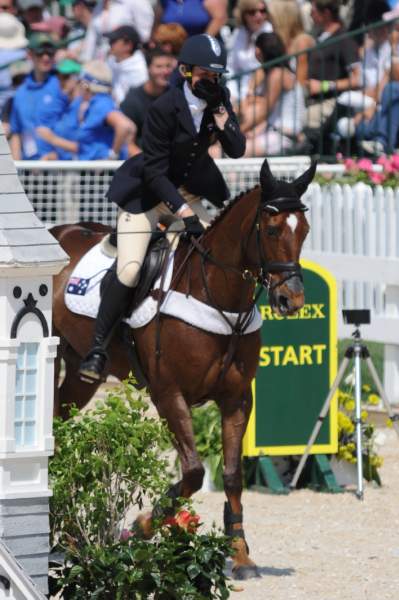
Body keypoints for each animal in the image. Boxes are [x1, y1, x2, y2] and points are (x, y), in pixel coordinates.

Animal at [50, 157, 316, 580]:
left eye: (304, 230)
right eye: (273, 229)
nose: (291, 300)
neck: (218, 296)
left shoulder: (237, 399)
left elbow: (232, 475)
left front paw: (241, 554)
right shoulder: (168, 394)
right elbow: (192, 472)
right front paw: (140, 526)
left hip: (80, 377)